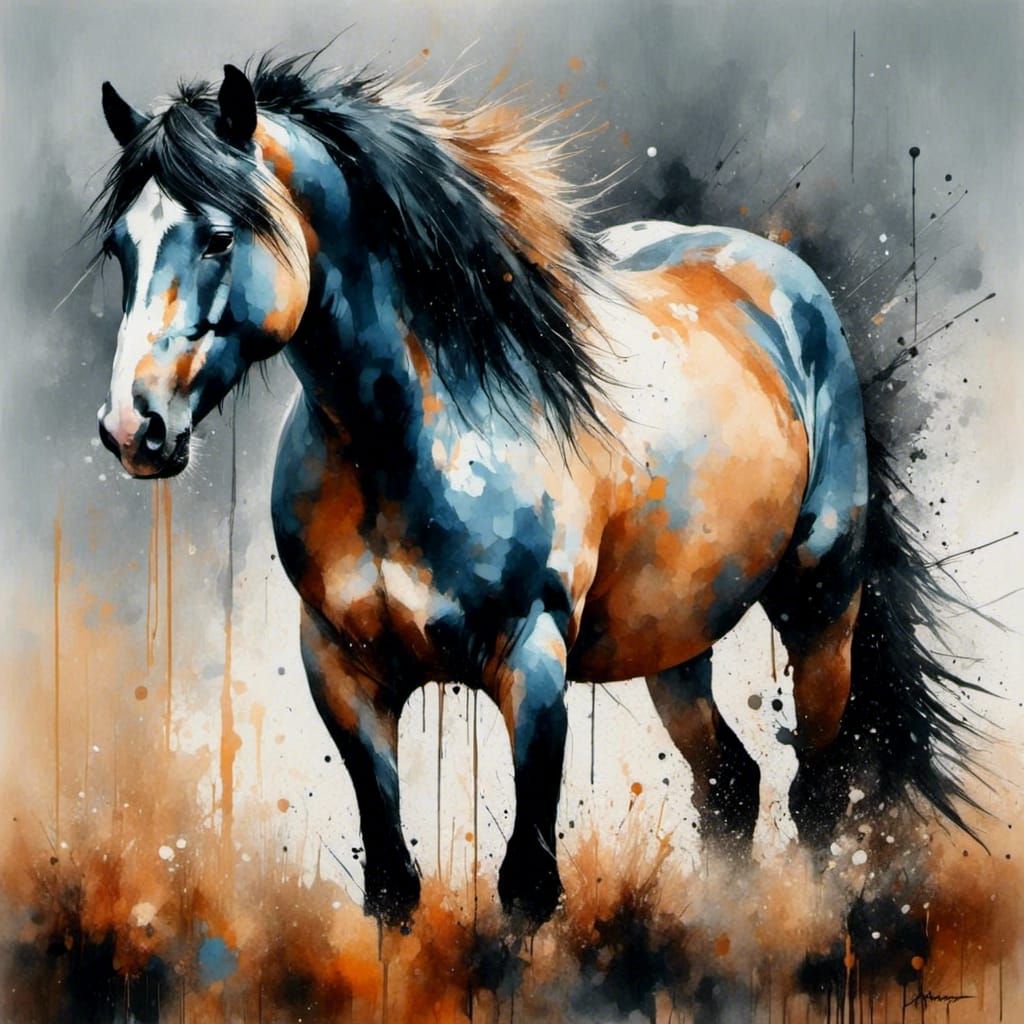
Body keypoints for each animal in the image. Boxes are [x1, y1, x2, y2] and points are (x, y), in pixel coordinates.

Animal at [91, 54, 974, 927]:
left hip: (820, 604)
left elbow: (526, 886)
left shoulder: (533, 660)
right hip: (675, 640)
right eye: (120, 249)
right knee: (730, 786)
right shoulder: (341, 670)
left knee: (817, 795)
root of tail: (786, 282)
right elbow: (392, 883)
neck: (405, 443)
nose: (134, 428)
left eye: (219, 237)